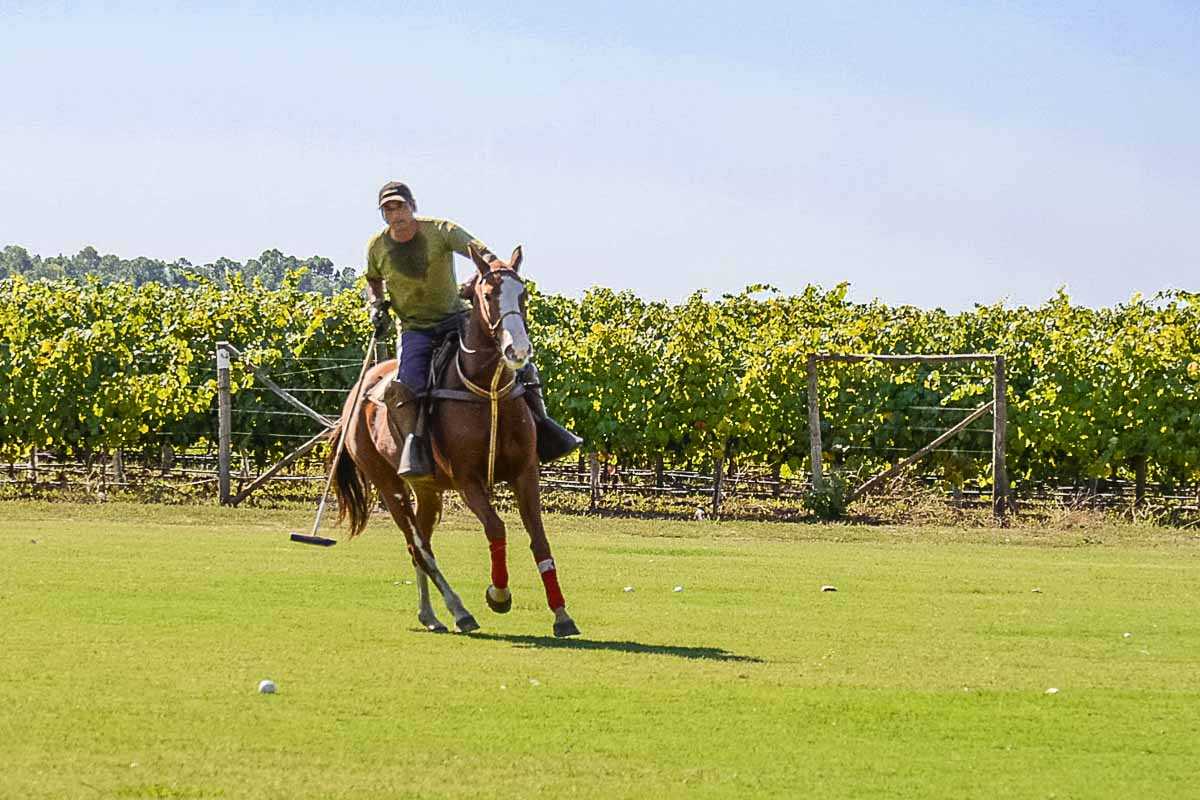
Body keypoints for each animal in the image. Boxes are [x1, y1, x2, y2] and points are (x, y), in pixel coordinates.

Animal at [324, 244, 576, 638]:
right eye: (488, 295)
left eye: (523, 295)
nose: (518, 351)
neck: (487, 389)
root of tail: (354, 398)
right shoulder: (467, 479)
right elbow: (496, 527)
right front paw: (498, 595)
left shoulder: (525, 472)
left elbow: (539, 537)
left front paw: (561, 614)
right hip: (388, 484)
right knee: (417, 546)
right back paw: (459, 610)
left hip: (427, 489)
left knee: (421, 543)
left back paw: (430, 614)